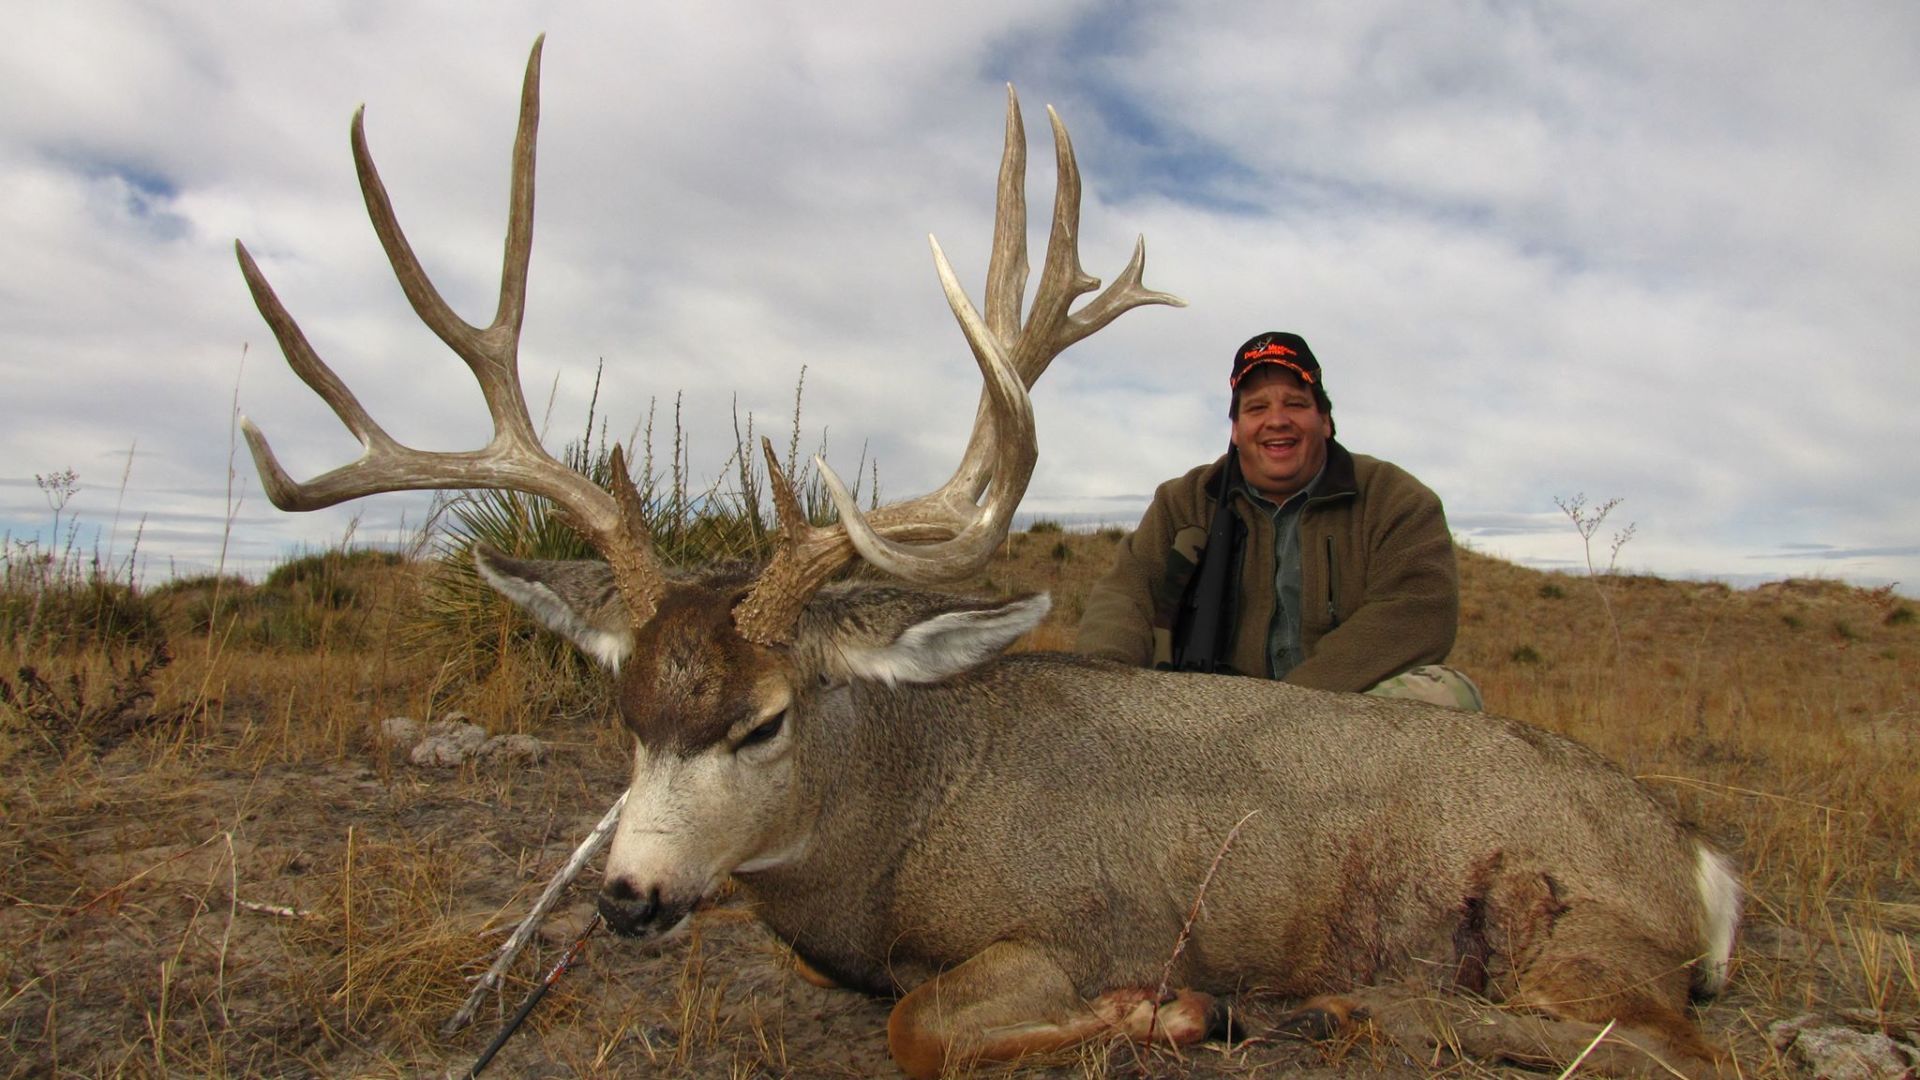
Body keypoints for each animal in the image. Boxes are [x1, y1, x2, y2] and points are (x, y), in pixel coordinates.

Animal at [236, 38, 1741, 1079]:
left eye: (764, 721)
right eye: (626, 715)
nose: (628, 896)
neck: (901, 819)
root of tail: (1701, 861)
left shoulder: (1063, 925)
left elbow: (925, 1029)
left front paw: (1165, 1012)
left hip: (1573, 926)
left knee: (1666, 1049)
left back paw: (1358, 1004)